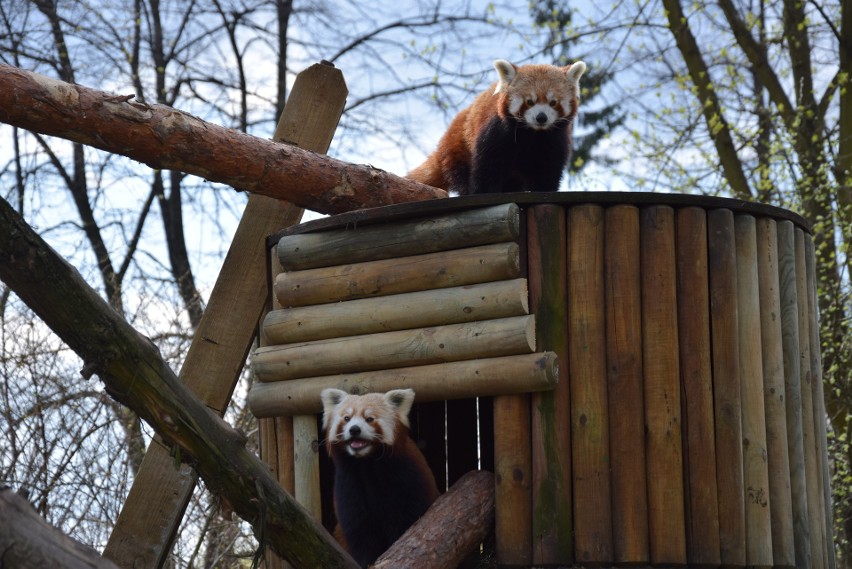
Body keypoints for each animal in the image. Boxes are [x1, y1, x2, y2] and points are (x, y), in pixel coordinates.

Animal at [320, 386, 440, 568]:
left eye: (369, 419)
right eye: (347, 418)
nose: (354, 429)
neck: (366, 464)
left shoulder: (407, 480)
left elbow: (405, 523)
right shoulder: (348, 486)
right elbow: (360, 533)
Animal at [408, 58, 584, 194]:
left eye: (553, 102)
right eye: (529, 102)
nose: (541, 117)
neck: (532, 133)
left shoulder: (554, 139)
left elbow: (548, 168)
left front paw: (543, 189)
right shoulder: (498, 132)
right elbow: (488, 165)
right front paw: (482, 191)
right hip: (458, 147)